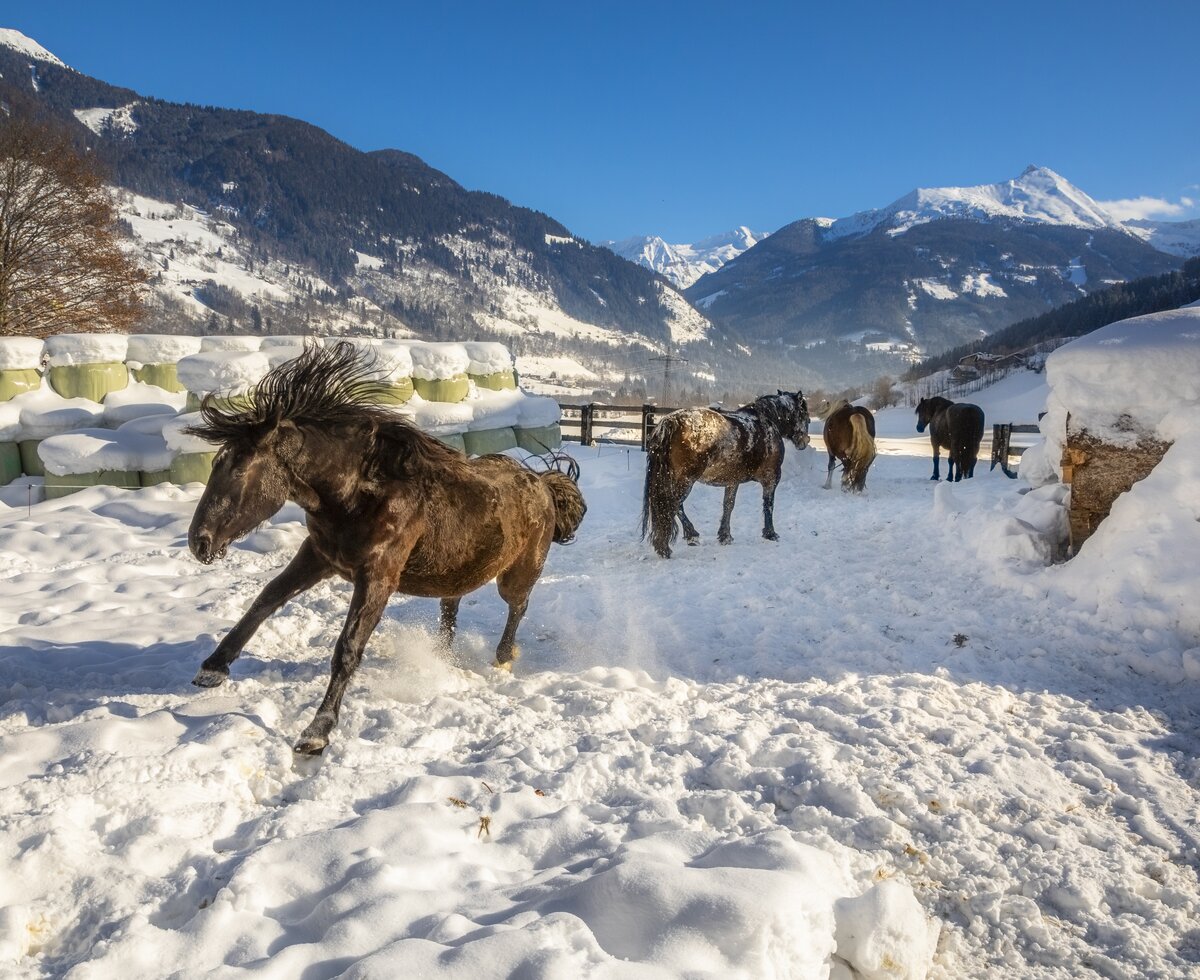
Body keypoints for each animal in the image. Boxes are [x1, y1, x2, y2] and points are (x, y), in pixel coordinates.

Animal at [183, 343, 590, 758]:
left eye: (237, 470)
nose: (199, 542)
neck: (361, 495)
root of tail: (542, 483)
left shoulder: (378, 577)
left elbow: (347, 648)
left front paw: (317, 732)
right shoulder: (318, 556)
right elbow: (266, 600)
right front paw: (213, 667)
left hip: (518, 572)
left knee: (517, 607)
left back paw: (504, 658)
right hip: (457, 571)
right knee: (451, 607)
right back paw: (441, 657)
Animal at [643, 391, 811, 558]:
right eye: (804, 415)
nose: (804, 441)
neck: (768, 421)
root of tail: (670, 422)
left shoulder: (732, 480)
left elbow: (728, 505)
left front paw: (725, 536)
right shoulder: (772, 478)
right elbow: (768, 505)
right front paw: (770, 533)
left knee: (675, 506)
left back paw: (688, 536)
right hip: (685, 480)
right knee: (672, 504)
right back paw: (671, 545)